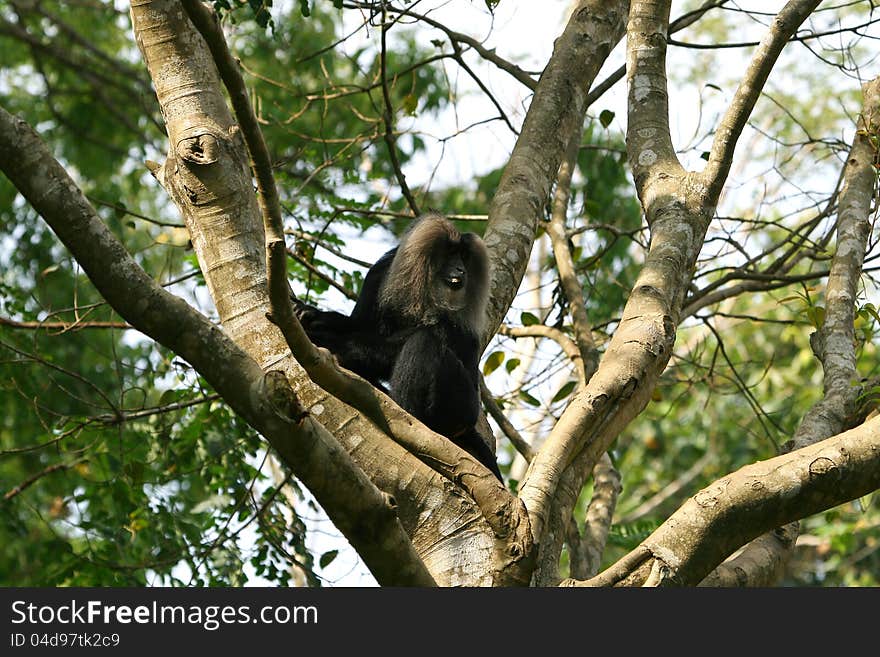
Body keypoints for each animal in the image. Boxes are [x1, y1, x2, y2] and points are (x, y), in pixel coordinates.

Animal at [294, 213, 502, 480]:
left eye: (464, 257)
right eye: (450, 254)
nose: (460, 270)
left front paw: (328, 338)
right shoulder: (381, 271)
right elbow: (361, 323)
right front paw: (316, 316)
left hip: (462, 406)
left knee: (423, 341)